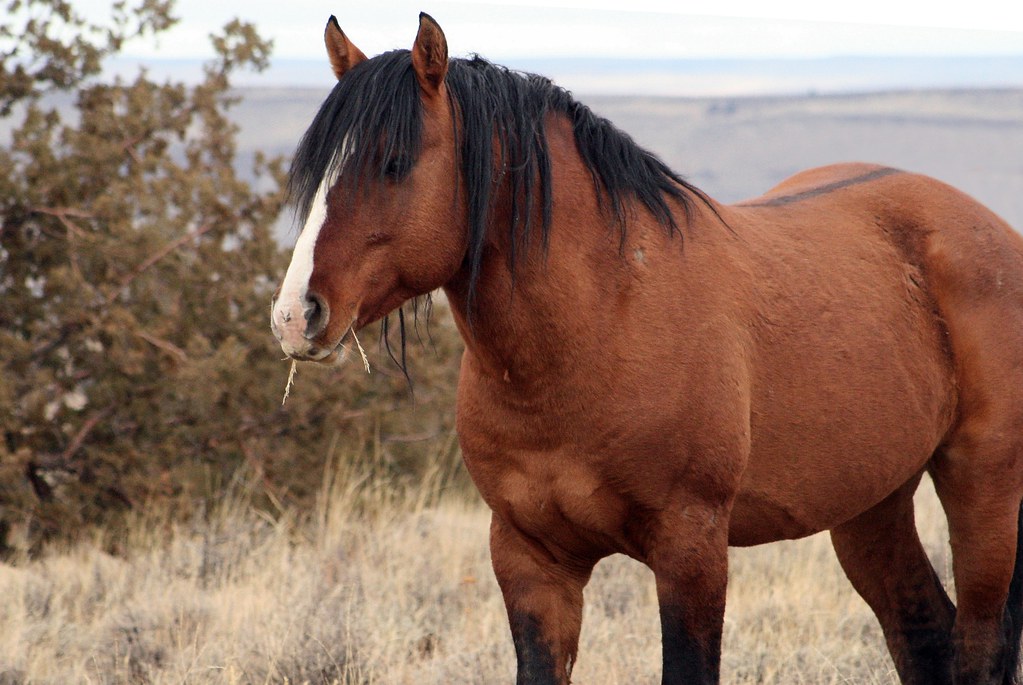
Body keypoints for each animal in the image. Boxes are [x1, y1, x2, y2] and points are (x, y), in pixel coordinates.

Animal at [270, 13, 1023, 685]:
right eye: (316, 171)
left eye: (393, 162)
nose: (294, 315)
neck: (598, 324)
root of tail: (990, 229)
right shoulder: (528, 559)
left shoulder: (690, 549)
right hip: (871, 502)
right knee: (923, 632)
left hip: (983, 489)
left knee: (980, 644)